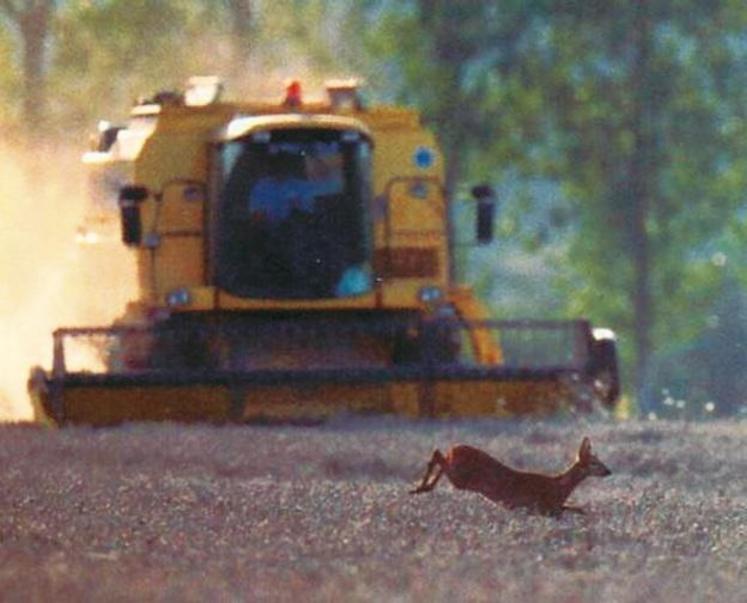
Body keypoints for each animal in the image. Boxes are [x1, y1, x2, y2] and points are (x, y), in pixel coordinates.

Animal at [410, 436, 612, 516]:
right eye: (594, 463)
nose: (608, 471)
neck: (559, 487)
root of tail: (454, 448)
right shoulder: (544, 507)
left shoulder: (552, 508)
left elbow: (576, 509)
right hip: (460, 477)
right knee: (437, 454)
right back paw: (421, 487)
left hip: (458, 474)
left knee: (439, 456)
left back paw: (421, 488)